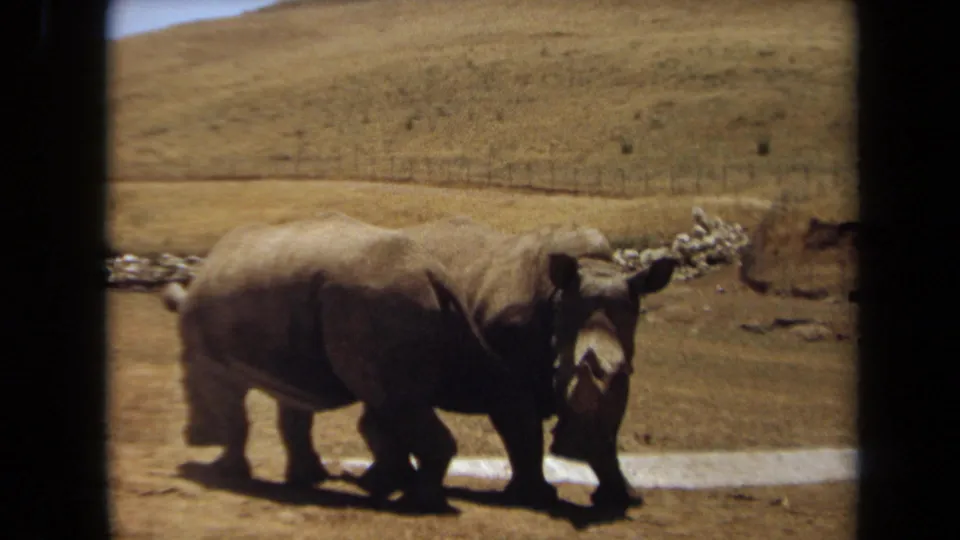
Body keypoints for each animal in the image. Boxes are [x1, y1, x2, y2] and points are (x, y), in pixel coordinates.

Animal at [163, 212, 546, 513]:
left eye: (182, 384)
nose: (191, 437)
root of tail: (432, 272)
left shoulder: (217, 365)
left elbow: (235, 418)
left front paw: (225, 471)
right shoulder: (291, 364)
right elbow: (294, 422)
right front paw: (306, 478)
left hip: (377, 301)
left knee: (393, 402)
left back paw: (416, 502)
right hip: (418, 305)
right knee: (449, 395)